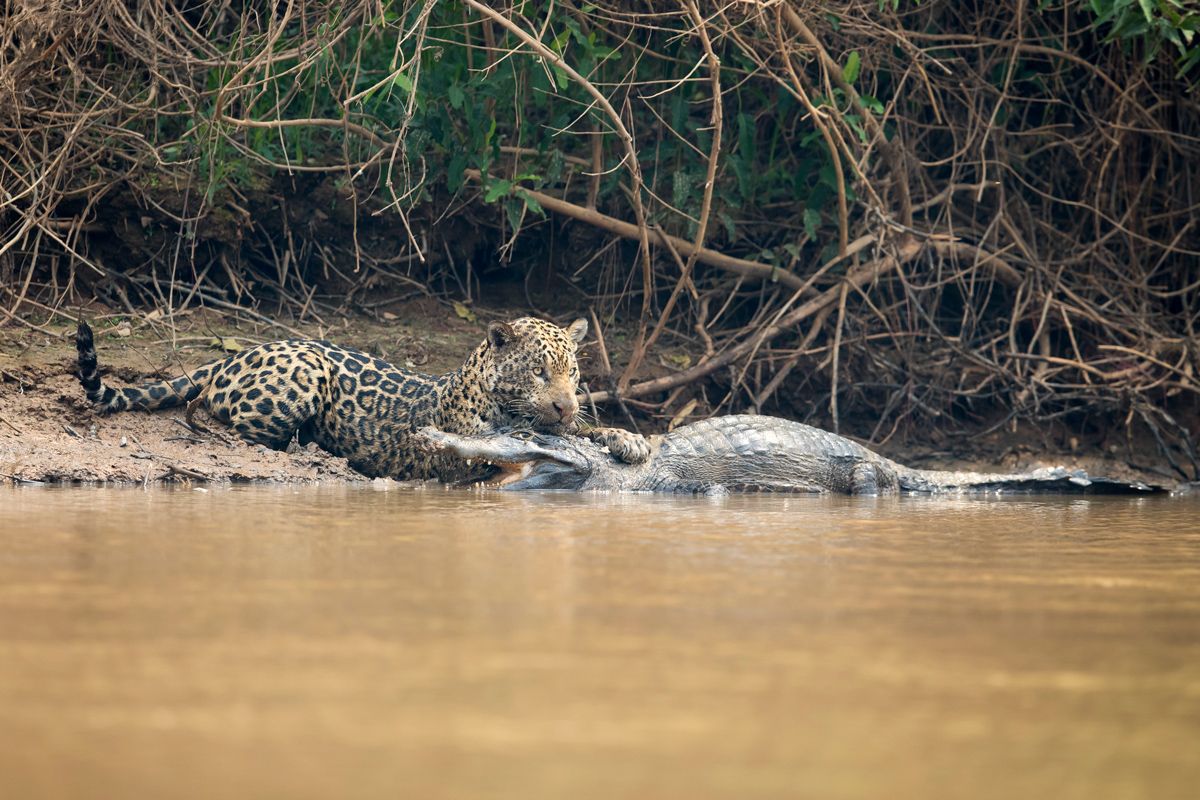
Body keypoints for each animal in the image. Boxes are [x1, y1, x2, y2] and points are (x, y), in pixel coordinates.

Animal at [74, 316, 650, 482]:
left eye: (573, 373)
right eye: (537, 371)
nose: (565, 403)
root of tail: (238, 352)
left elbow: (582, 433)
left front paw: (630, 439)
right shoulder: (466, 446)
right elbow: (523, 436)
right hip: (304, 372)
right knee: (224, 420)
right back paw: (305, 447)